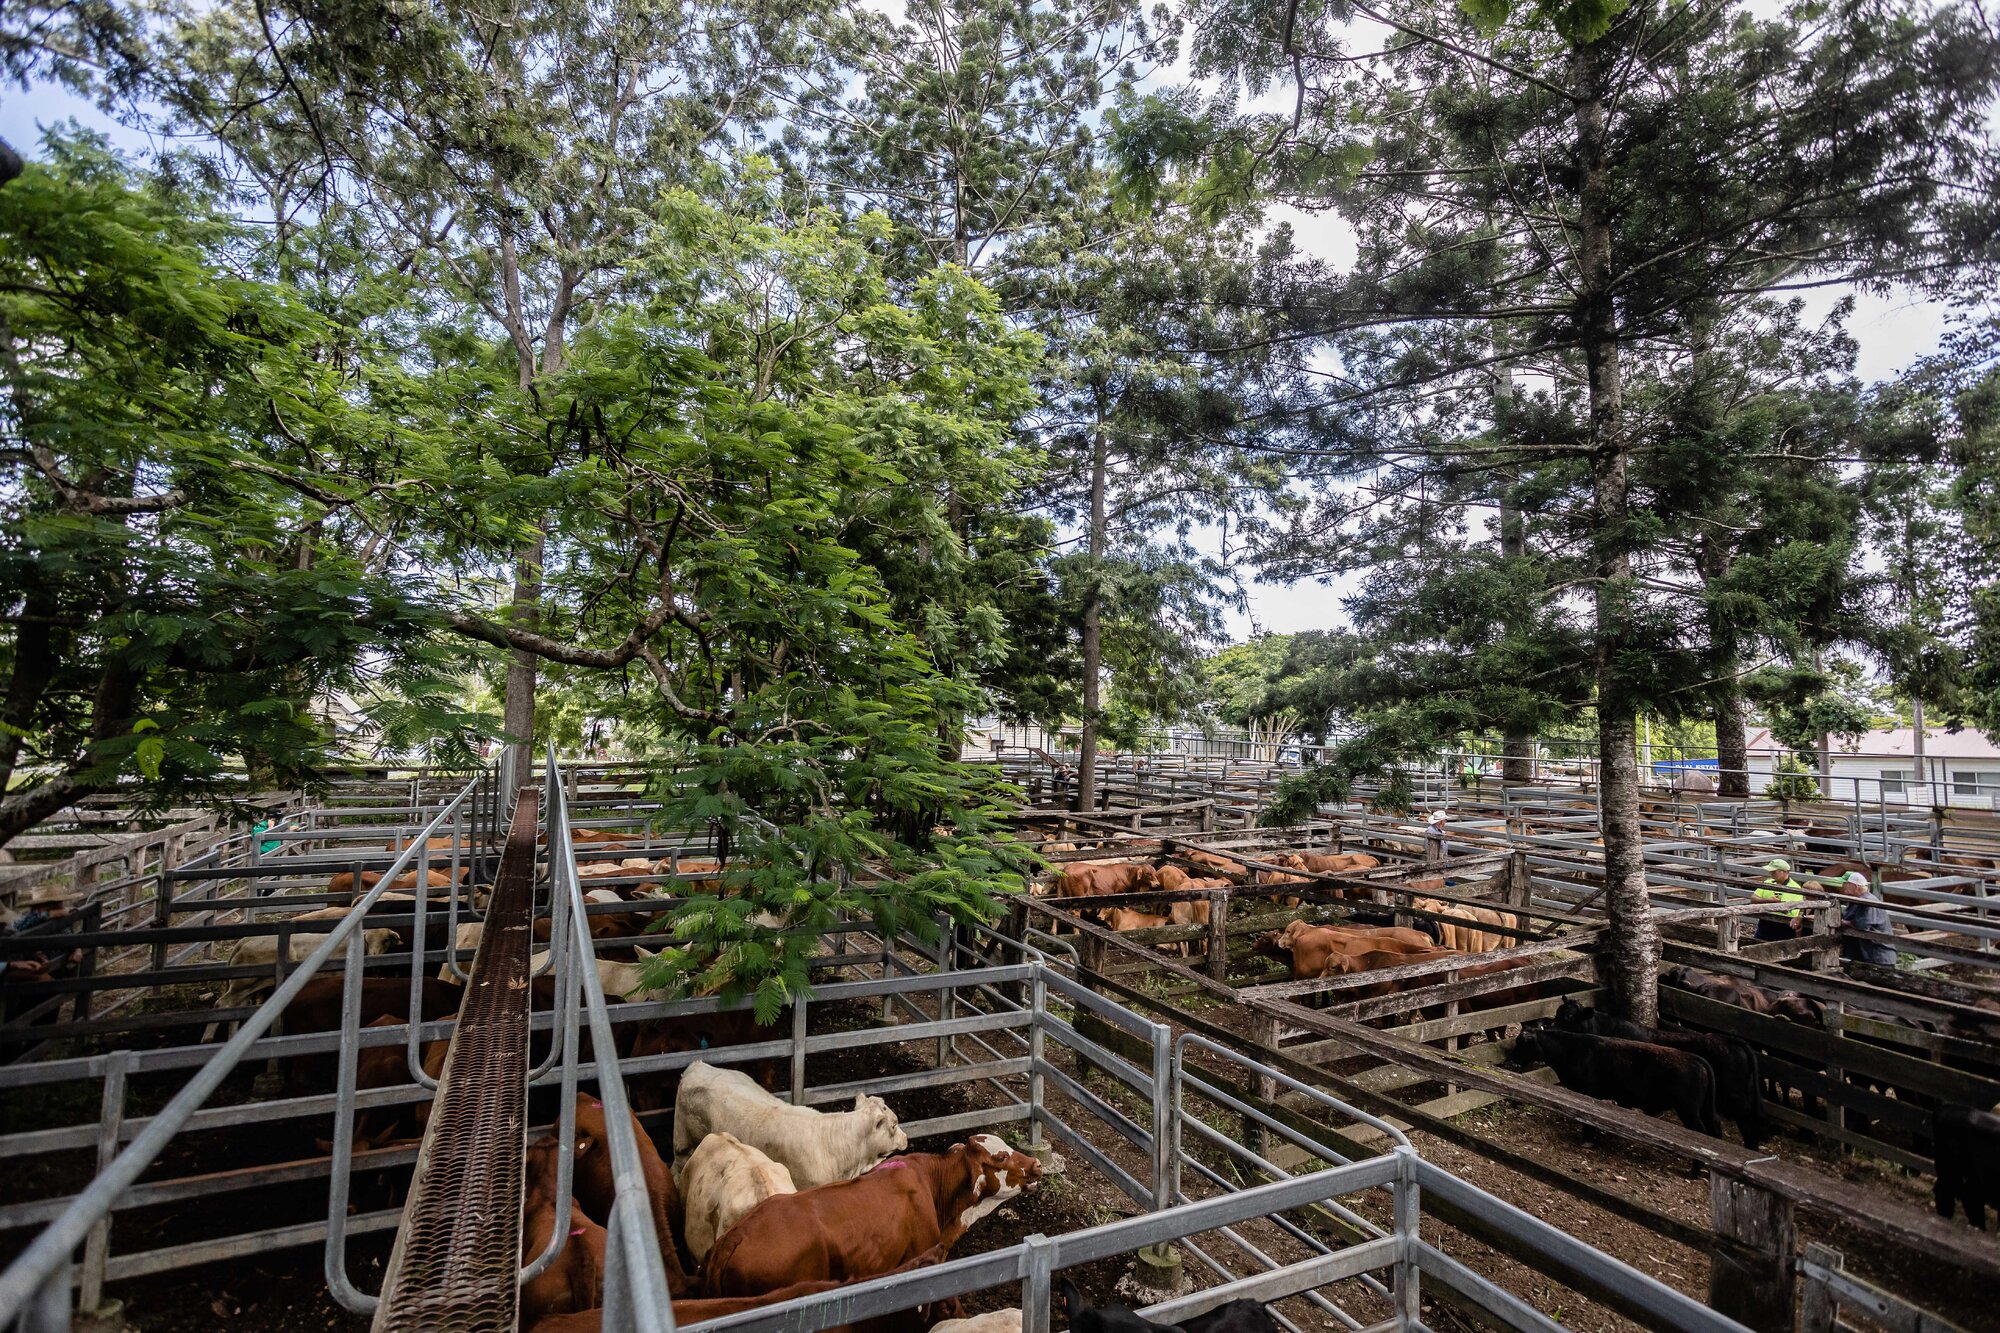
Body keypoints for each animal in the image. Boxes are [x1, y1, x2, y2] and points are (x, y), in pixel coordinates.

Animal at [1510, 1024, 1722, 1137]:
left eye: (1521, 1042)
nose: (1512, 1057)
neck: (1571, 1049)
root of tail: (1696, 1059)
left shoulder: (1590, 1092)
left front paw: (1588, 1136)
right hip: (1703, 1109)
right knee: (1715, 1125)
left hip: (1689, 1110)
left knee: (1701, 1130)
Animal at [1553, 1000, 1765, 1148]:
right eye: (1556, 1012)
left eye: (1569, 1017)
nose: (1550, 1027)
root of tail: (1732, 1040)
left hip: (1735, 1100)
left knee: (1748, 1127)